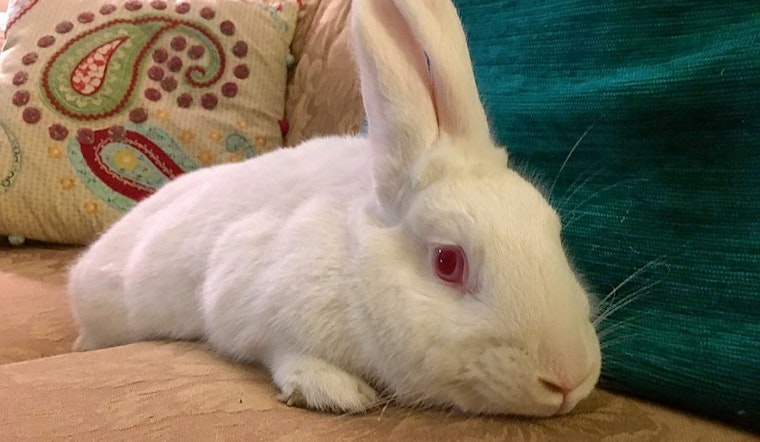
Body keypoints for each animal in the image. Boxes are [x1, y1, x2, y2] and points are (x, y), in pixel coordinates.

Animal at [68, 0, 601, 417]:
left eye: (553, 231)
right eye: (448, 262)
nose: (568, 378)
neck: (355, 261)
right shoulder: (248, 298)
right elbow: (279, 350)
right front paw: (334, 390)